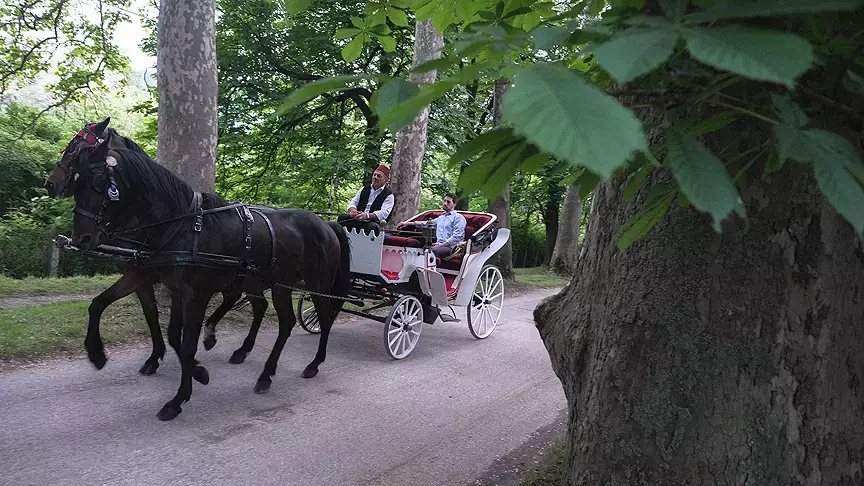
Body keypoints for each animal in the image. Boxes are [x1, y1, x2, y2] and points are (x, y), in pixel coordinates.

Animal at [43, 118, 266, 376]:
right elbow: (145, 312)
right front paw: (154, 356)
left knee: (257, 304)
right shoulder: (143, 276)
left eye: (75, 149)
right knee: (244, 300)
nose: (50, 184)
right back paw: (218, 338)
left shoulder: (143, 274)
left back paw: (239, 347)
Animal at [68, 131, 352, 420]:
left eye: (98, 182)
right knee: (284, 322)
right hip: (278, 285)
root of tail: (326, 224)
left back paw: (313, 364)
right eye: (75, 182)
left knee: (324, 318)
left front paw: (179, 398)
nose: (81, 238)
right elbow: (162, 329)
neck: (183, 225)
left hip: (317, 285)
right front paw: (97, 353)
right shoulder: (172, 287)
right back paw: (264, 372)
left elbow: (186, 344)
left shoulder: (196, 294)